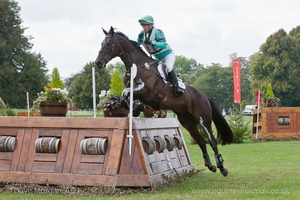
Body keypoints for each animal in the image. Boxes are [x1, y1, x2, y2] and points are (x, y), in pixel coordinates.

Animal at [96, 26, 234, 177]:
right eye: (102, 44)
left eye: (109, 44)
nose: (98, 63)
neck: (137, 66)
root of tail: (204, 96)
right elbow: (124, 96)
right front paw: (134, 108)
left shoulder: (147, 91)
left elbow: (126, 92)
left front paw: (135, 108)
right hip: (187, 121)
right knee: (201, 141)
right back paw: (211, 165)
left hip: (203, 119)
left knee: (212, 141)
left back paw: (222, 167)